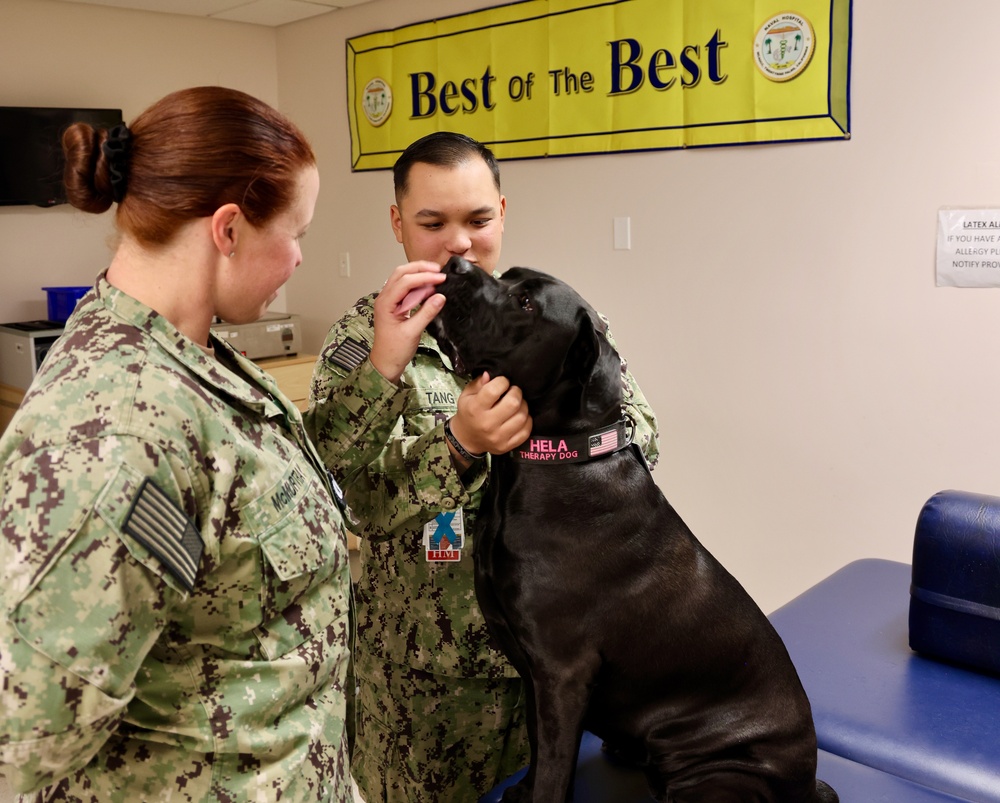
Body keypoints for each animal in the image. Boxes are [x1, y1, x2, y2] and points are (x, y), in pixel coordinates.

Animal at [428, 258, 836, 803]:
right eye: (508, 273)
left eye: (526, 303)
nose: (456, 263)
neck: (560, 459)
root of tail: (807, 783)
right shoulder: (534, 674)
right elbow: (537, 747)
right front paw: (521, 790)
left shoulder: (561, 674)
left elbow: (554, 771)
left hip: (717, 775)